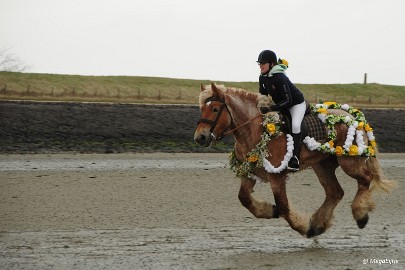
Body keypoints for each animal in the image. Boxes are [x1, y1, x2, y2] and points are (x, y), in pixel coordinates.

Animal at [194, 83, 392, 237]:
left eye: (215, 109)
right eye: (202, 108)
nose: (200, 137)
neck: (256, 130)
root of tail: (353, 116)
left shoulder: (277, 177)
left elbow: (284, 207)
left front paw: (303, 227)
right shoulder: (249, 173)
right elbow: (244, 198)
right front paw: (270, 210)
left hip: (349, 162)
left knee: (365, 179)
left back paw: (360, 214)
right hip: (322, 165)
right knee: (335, 192)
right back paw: (318, 224)